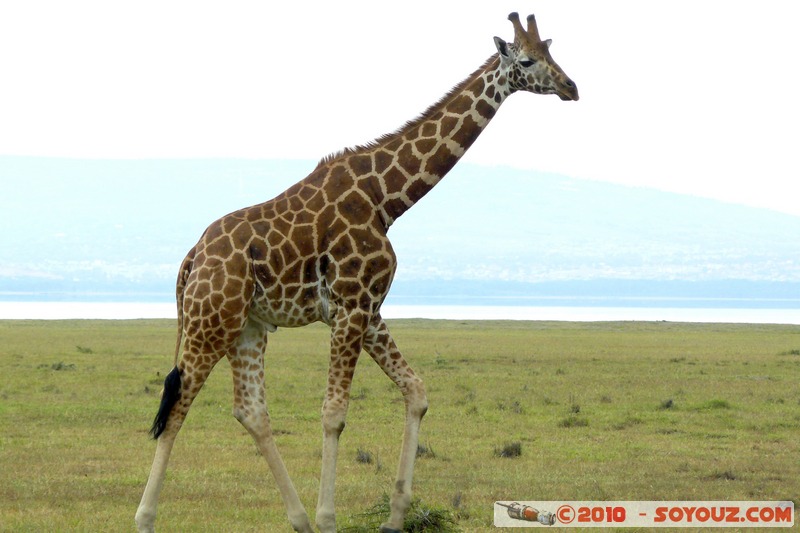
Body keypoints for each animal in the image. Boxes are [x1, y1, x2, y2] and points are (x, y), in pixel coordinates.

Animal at [136, 12, 577, 533]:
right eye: (527, 61)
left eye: (552, 53)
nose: (571, 86)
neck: (386, 198)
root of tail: (190, 260)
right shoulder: (350, 306)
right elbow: (334, 413)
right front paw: (330, 517)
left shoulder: (369, 309)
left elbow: (416, 391)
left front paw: (394, 515)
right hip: (211, 322)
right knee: (177, 405)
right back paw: (147, 518)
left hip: (248, 326)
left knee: (251, 412)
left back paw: (299, 519)